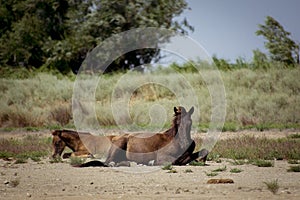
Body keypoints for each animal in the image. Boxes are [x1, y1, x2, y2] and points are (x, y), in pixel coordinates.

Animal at [77, 106, 209, 167]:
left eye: (190, 123)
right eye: (177, 123)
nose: (185, 143)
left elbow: (203, 151)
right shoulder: (163, 156)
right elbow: (173, 161)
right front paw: (152, 162)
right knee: (109, 162)